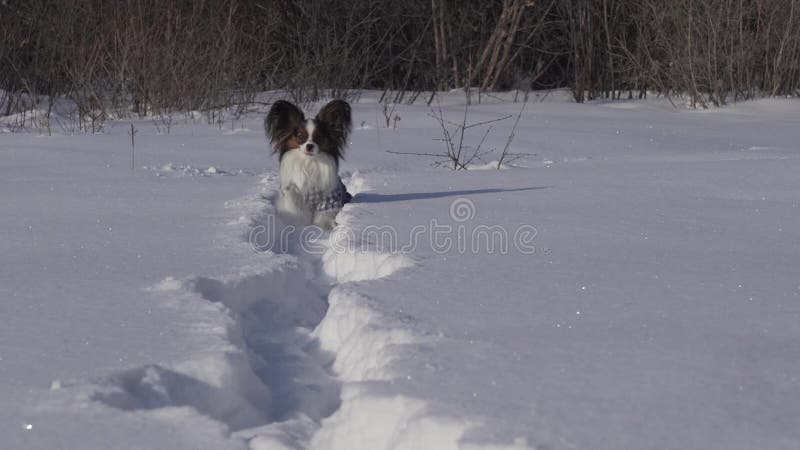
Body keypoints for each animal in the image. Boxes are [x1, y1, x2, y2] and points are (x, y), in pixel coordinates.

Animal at [266, 100, 354, 230]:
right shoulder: (293, 192)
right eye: (300, 136)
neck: (309, 162)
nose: (309, 146)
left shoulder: (329, 200)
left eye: (319, 137)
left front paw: (321, 228)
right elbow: (294, 202)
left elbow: (322, 217)